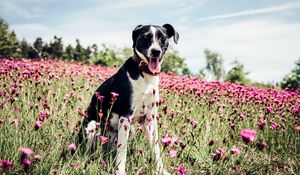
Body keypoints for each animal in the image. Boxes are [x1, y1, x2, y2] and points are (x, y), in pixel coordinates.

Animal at [81, 23, 178, 174]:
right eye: (146, 37)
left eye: (163, 38)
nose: (155, 51)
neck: (145, 73)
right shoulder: (125, 116)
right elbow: (123, 151)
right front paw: (120, 171)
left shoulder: (150, 119)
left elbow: (156, 148)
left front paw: (161, 170)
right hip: (92, 127)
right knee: (89, 150)